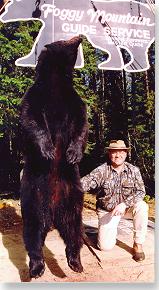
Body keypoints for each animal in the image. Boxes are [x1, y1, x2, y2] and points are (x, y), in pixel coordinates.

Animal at [19, 35, 88, 278]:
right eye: (64, 39)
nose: (80, 35)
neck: (57, 82)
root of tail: (52, 212)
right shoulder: (35, 96)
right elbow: (31, 119)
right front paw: (48, 149)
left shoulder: (74, 100)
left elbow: (81, 124)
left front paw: (73, 153)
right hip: (32, 196)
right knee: (33, 235)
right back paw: (36, 268)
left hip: (73, 197)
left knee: (73, 231)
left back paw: (75, 263)